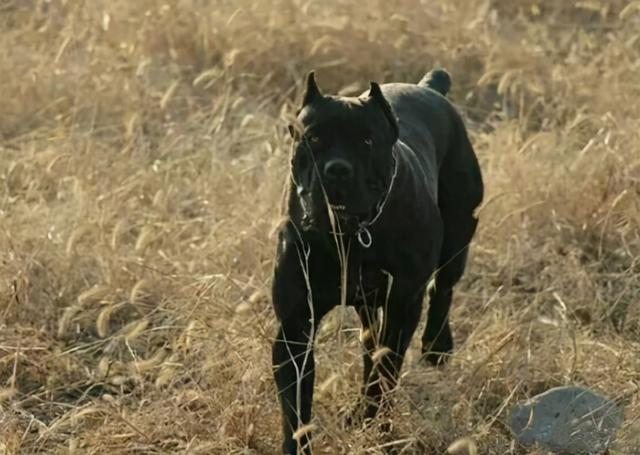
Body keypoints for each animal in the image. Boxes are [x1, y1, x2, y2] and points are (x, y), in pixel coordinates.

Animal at [272, 69, 484, 454]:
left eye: (367, 141)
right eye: (313, 137)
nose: (337, 169)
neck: (349, 235)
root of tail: (430, 87)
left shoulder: (402, 306)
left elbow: (384, 372)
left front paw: (371, 421)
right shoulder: (295, 326)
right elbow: (295, 406)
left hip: (458, 236)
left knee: (443, 287)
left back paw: (436, 346)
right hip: (369, 303)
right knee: (369, 342)